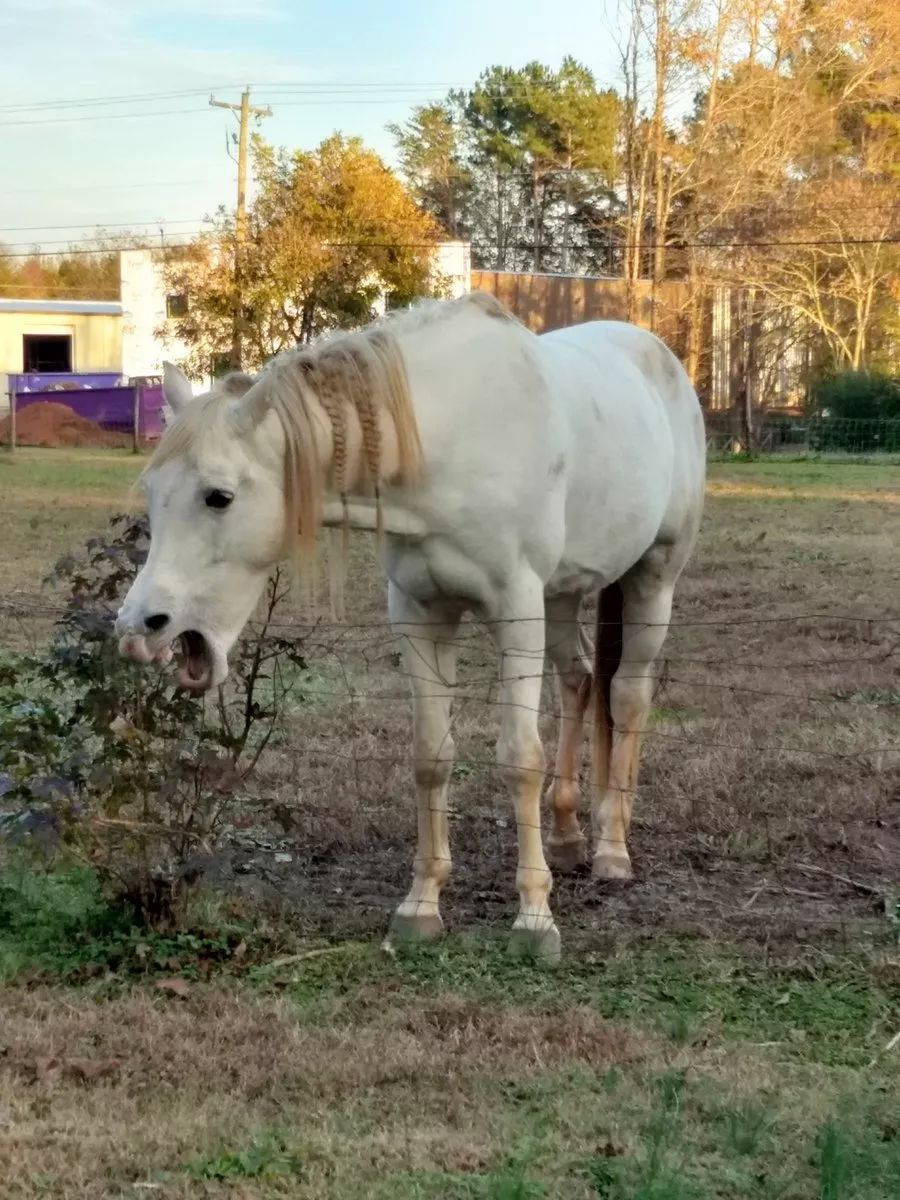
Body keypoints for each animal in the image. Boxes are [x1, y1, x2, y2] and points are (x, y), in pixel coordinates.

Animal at [114, 295, 705, 960]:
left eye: (218, 496)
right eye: (153, 491)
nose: (139, 627)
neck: (447, 441)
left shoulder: (516, 610)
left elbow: (519, 758)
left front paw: (534, 918)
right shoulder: (420, 614)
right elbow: (431, 756)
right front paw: (421, 905)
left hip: (653, 580)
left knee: (627, 695)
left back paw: (611, 848)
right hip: (564, 594)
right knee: (578, 682)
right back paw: (568, 836)